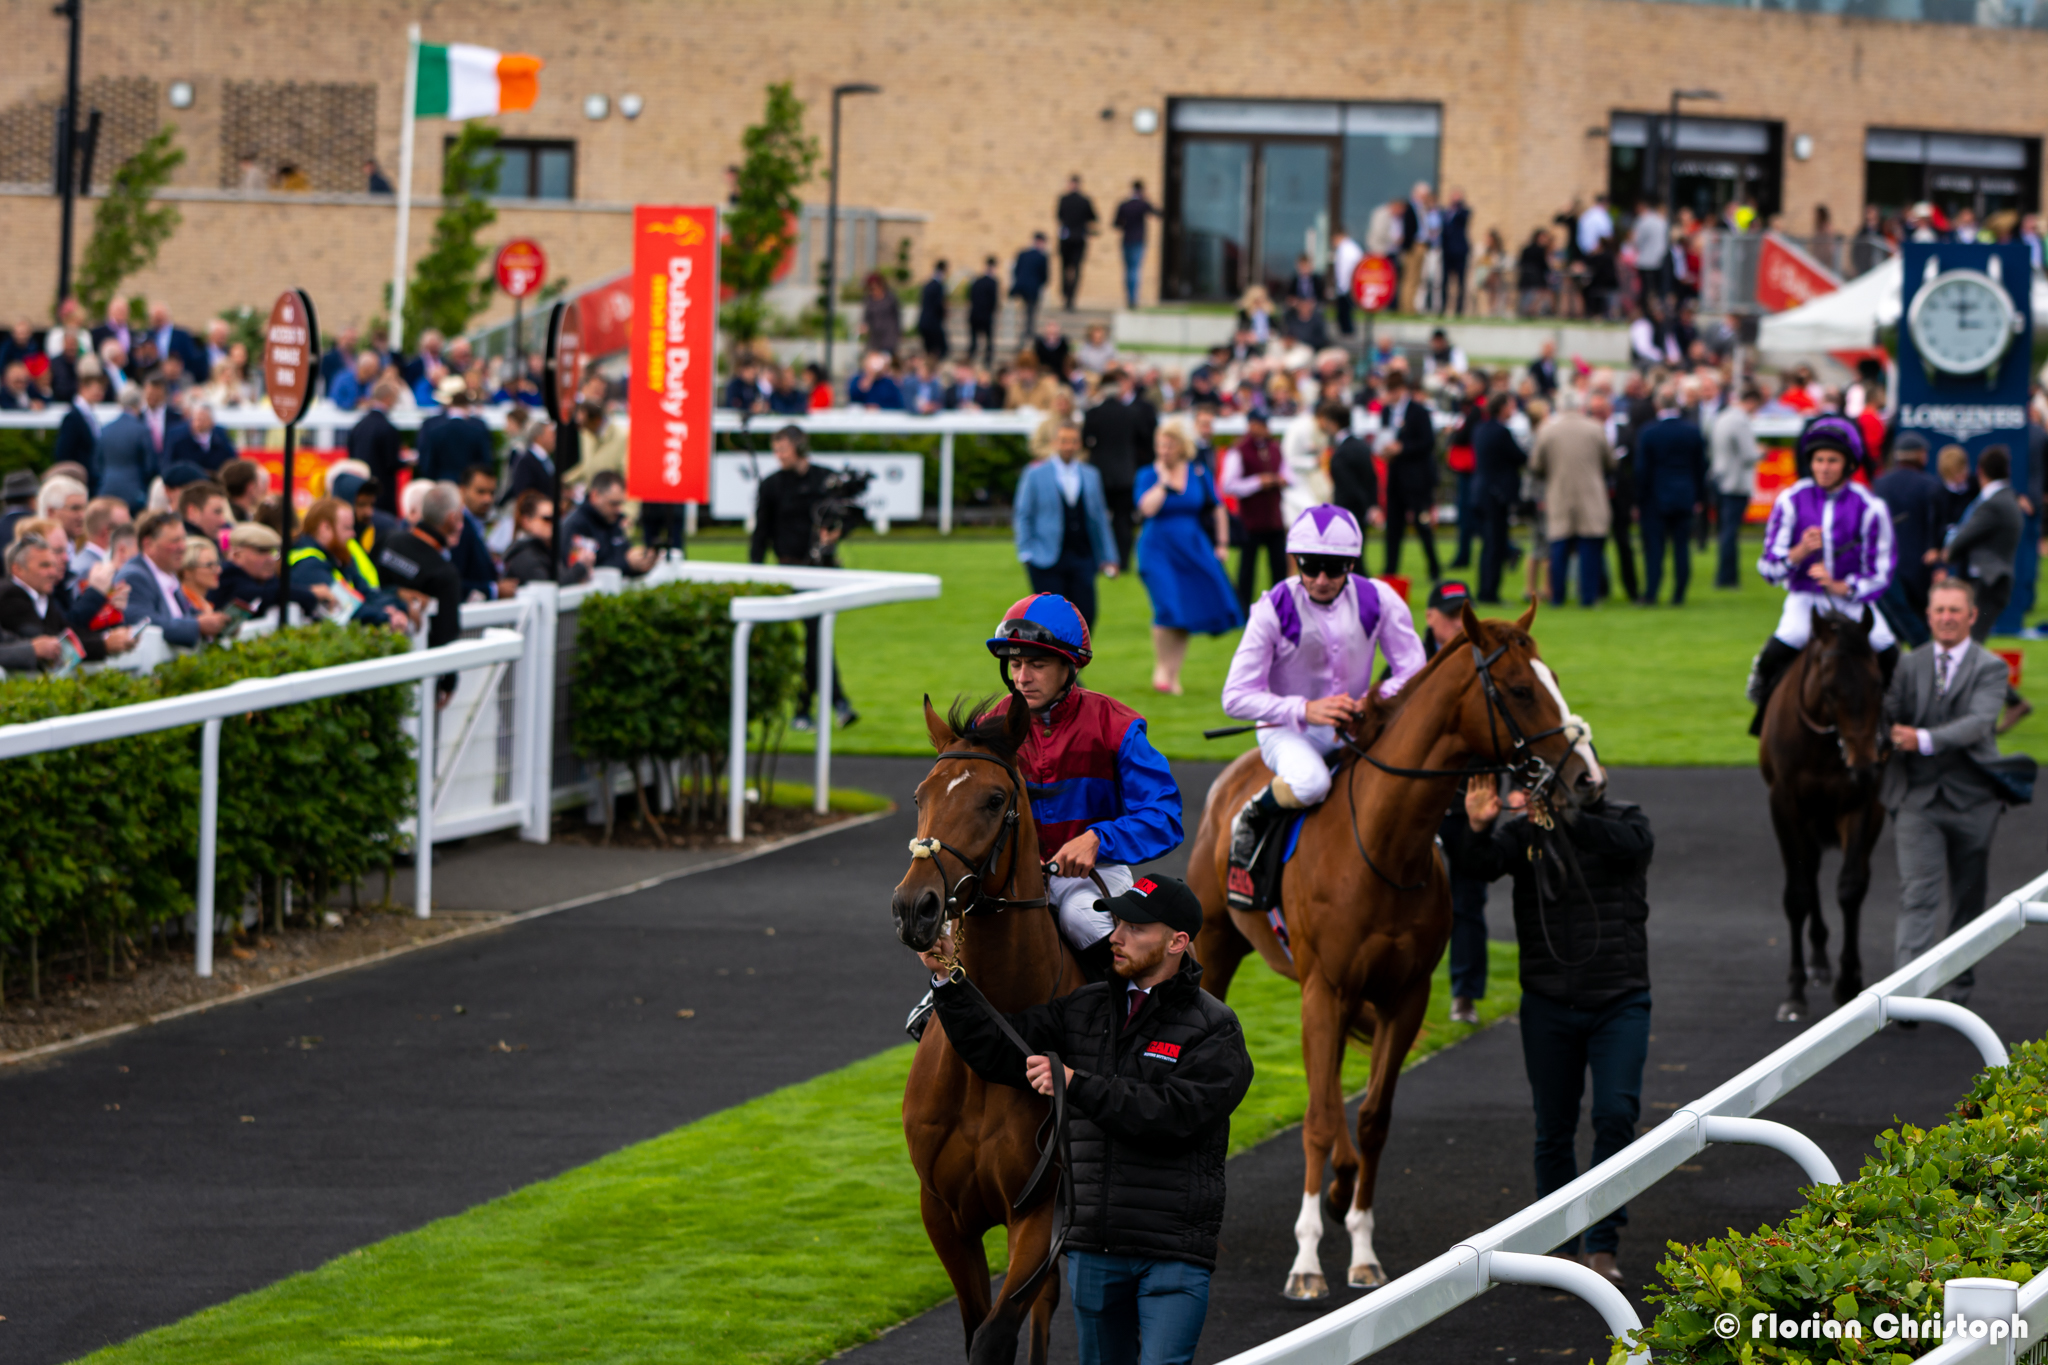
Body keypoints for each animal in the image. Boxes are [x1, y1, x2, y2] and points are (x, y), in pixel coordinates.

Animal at [891, 695, 1082, 1365]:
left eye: (995, 799)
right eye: (919, 794)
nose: (914, 907)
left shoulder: (1038, 1206)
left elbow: (998, 1334)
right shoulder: (943, 1211)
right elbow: (976, 1327)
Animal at [1187, 602, 1600, 1300]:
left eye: (1556, 678)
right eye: (1521, 689)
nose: (1586, 778)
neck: (1382, 849)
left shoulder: (1405, 995)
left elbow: (1372, 1117)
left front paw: (1360, 1247)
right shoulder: (1325, 989)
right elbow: (1318, 1117)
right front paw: (1306, 1263)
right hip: (1219, 948)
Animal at [1758, 607, 1888, 1022]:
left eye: (1879, 683)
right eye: (1830, 689)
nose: (1864, 766)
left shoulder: (1863, 803)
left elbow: (1850, 887)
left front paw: (1849, 980)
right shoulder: (1783, 803)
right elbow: (1797, 894)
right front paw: (1795, 991)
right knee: (1809, 870)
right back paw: (1815, 961)